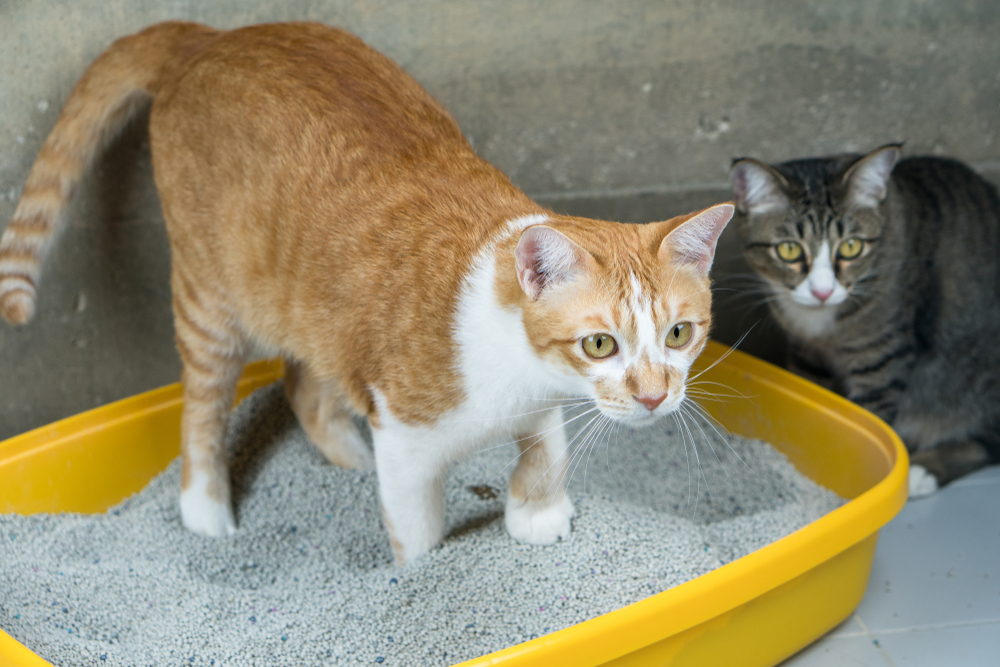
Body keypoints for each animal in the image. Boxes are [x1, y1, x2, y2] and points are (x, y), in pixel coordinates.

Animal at [1, 22, 736, 564]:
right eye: (600, 343)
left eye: (679, 333)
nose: (654, 396)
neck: (514, 363)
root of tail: (209, 38)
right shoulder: (407, 442)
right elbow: (419, 534)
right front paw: (423, 572)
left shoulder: (541, 407)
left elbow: (545, 455)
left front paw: (538, 514)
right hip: (212, 302)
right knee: (203, 408)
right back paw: (207, 513)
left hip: (316, 309)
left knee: (304, 383)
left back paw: (349, 463)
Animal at [732, 146, 996, 496]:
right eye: (788, 250)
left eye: (851, 246)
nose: (822, 291)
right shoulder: (808, 356)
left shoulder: (879, 357)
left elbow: (871, 417)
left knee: (987, 442)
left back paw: (923, 470)